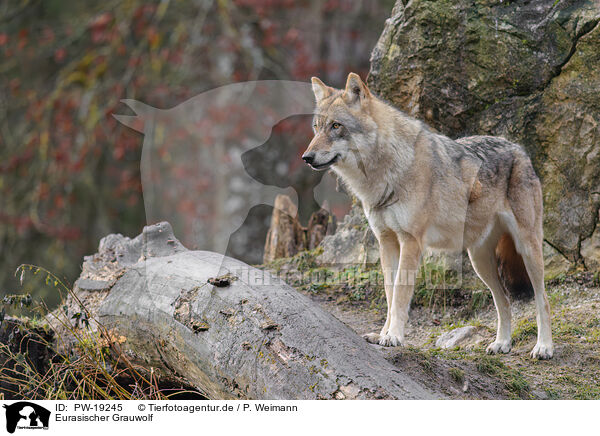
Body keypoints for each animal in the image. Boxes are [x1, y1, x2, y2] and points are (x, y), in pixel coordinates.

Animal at [302, 72, 556, 362]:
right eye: (316, 127)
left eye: (336, 126)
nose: (306, 157)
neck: (385, 171)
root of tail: (520, 149)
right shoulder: (386, 241)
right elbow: (389, 293)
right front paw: (383, 334)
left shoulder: (410, 241)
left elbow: (400, 293)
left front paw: (394, 337)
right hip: (480, 261)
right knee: (503, 300)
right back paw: (502, 343)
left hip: (527, 250)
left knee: (543, 299)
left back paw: (544, 347)